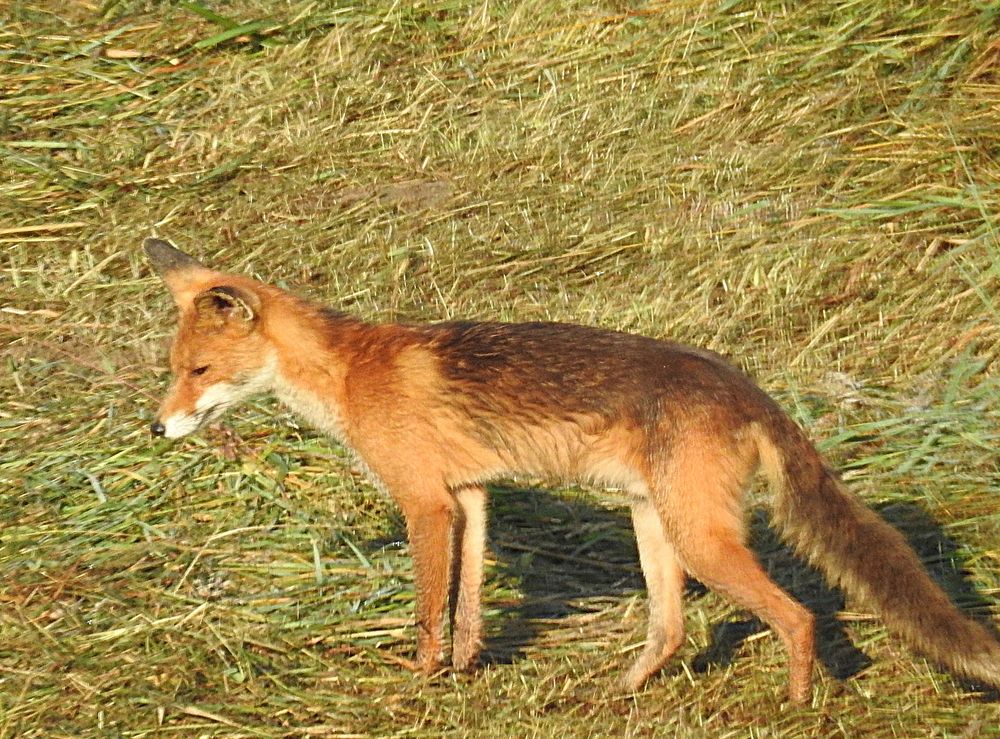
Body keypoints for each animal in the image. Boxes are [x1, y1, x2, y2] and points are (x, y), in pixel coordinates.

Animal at [146, 238, 1000, 704]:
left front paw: (419, 679)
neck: (351, 373)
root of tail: (744, 385)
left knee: (797, 617)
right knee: (672, 628)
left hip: (701, 541)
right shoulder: (471, 495)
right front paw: (465, 670)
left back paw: (794, 705)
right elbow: (468, 605)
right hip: (657, 527)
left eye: (199, 371)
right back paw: (618, 693)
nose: (156, 426)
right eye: (174, 369)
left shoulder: (427, 502)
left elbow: (427, 609)